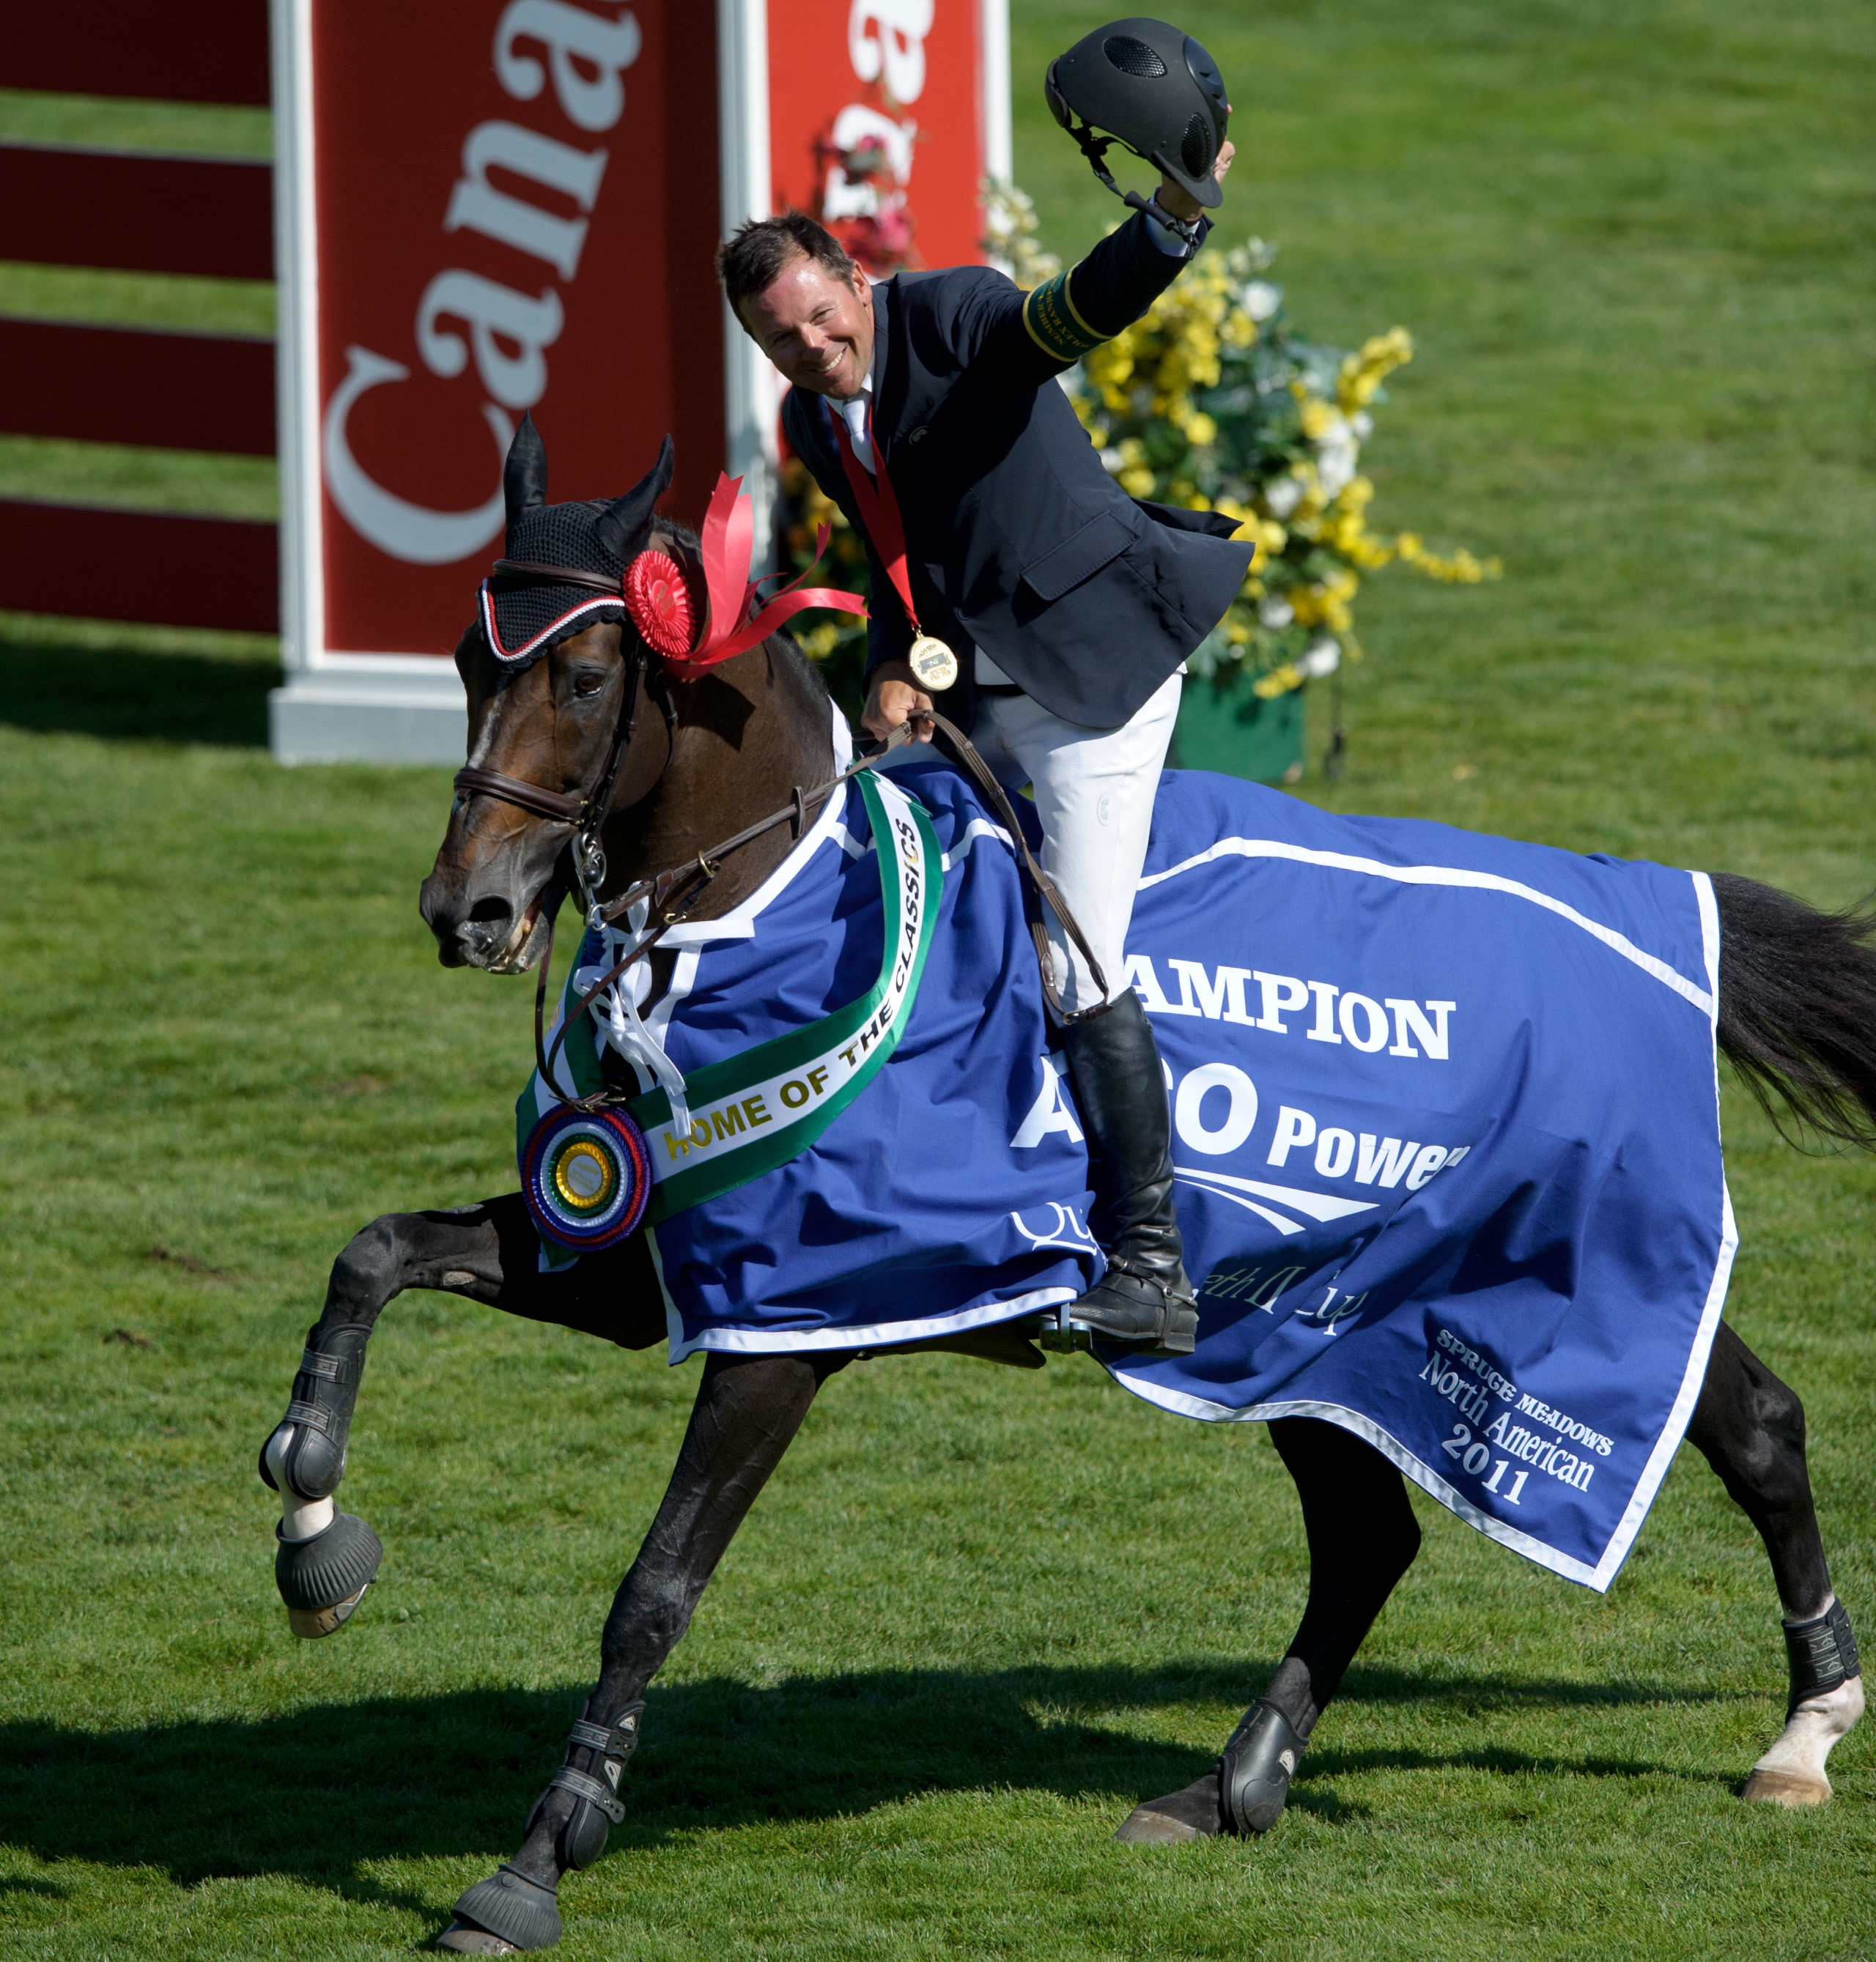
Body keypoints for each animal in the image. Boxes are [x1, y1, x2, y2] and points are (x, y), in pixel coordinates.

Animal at [256, 437, 1868, 1954]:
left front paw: (537, 1856)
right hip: (1312, 1325)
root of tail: (1645, 903)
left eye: (586, 674)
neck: (770, 916)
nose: (467, 911)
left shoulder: (795, 1325)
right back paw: (1233, 1784)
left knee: (1751, 1425)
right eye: (466, 663)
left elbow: (655, 1585)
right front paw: (312, 1523)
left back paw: (1804, 1734)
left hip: (1564, 1278)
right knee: (1377, 1531)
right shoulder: (628, 1250)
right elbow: (375, 1252)